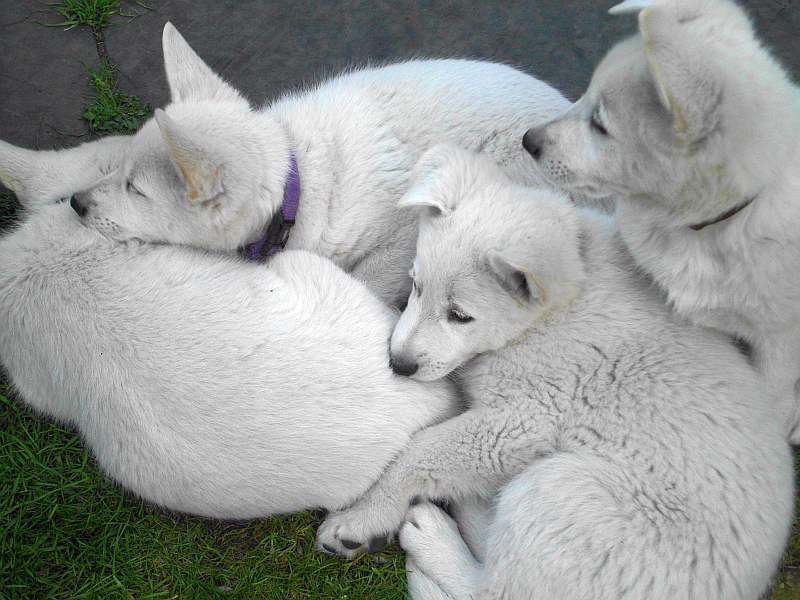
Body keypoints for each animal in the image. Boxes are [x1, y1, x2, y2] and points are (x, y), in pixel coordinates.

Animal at [0, 23, 568, 308]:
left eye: (136, 191)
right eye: (122, 177)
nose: (77, 204)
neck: (299, 186)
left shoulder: (402, 232)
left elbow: (372, 274)